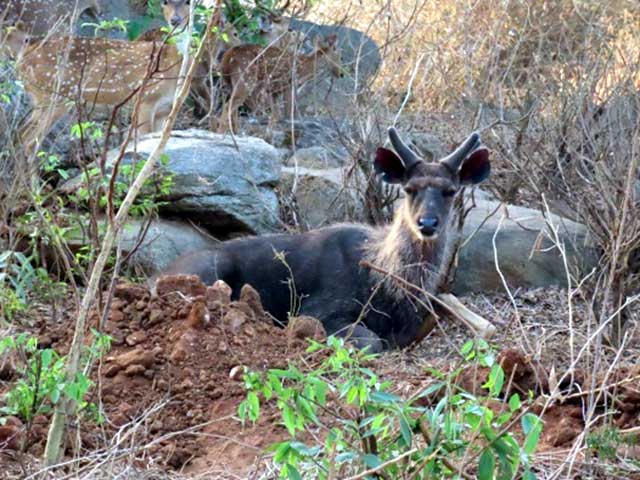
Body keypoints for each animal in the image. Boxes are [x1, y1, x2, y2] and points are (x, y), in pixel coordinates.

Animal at [159, 127, 490, 352]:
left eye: (450, 191)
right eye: (409, 189)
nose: (427, 223)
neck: (386, 283)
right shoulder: (317, 309)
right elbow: (372, 342)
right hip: (208, 268)